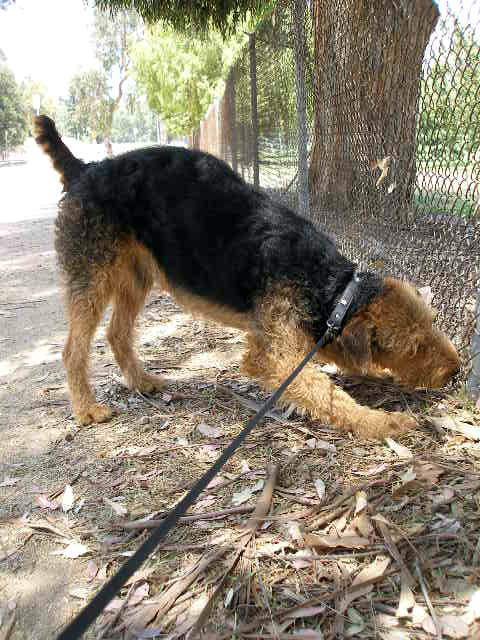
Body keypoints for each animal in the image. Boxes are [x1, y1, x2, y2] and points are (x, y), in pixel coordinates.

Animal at [34, 116, 462, 440]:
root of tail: (85, 168)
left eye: (432, 324)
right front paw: (386, 423)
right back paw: (87, 409)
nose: (456, 371)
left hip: (135, 278)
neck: (332, 287)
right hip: (92, 276)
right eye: (413, 347)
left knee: (117, 334)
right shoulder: (273, 354)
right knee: (73, 349)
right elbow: (327, 394)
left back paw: (143, 383)